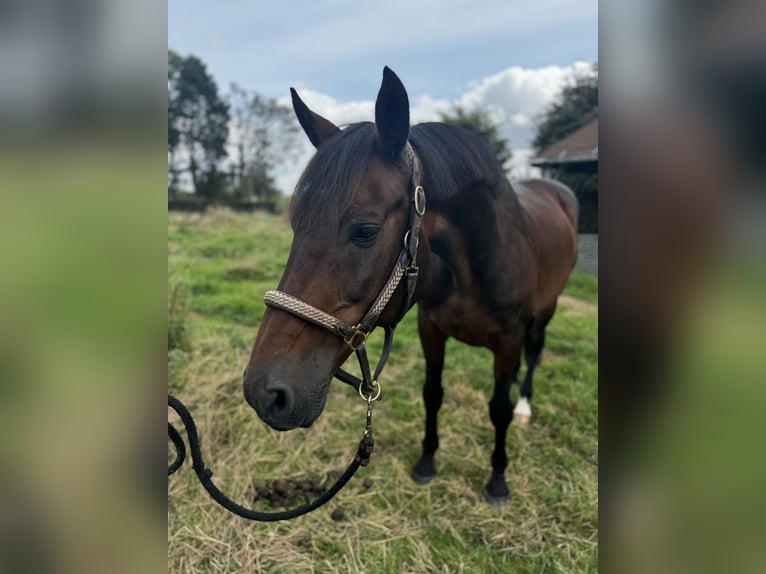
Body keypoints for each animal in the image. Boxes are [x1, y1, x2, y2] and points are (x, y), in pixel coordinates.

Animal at [243, 68, 580, 508]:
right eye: (295, 223)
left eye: (365, 230)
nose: (265, 392)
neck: (478, 264)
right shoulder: (430, 329)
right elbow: (432, 393)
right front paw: (426, 463)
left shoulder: (507, 341)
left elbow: (498, 408)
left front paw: (497, 481)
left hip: (547, 309)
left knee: (535, 352)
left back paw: (525, 407)